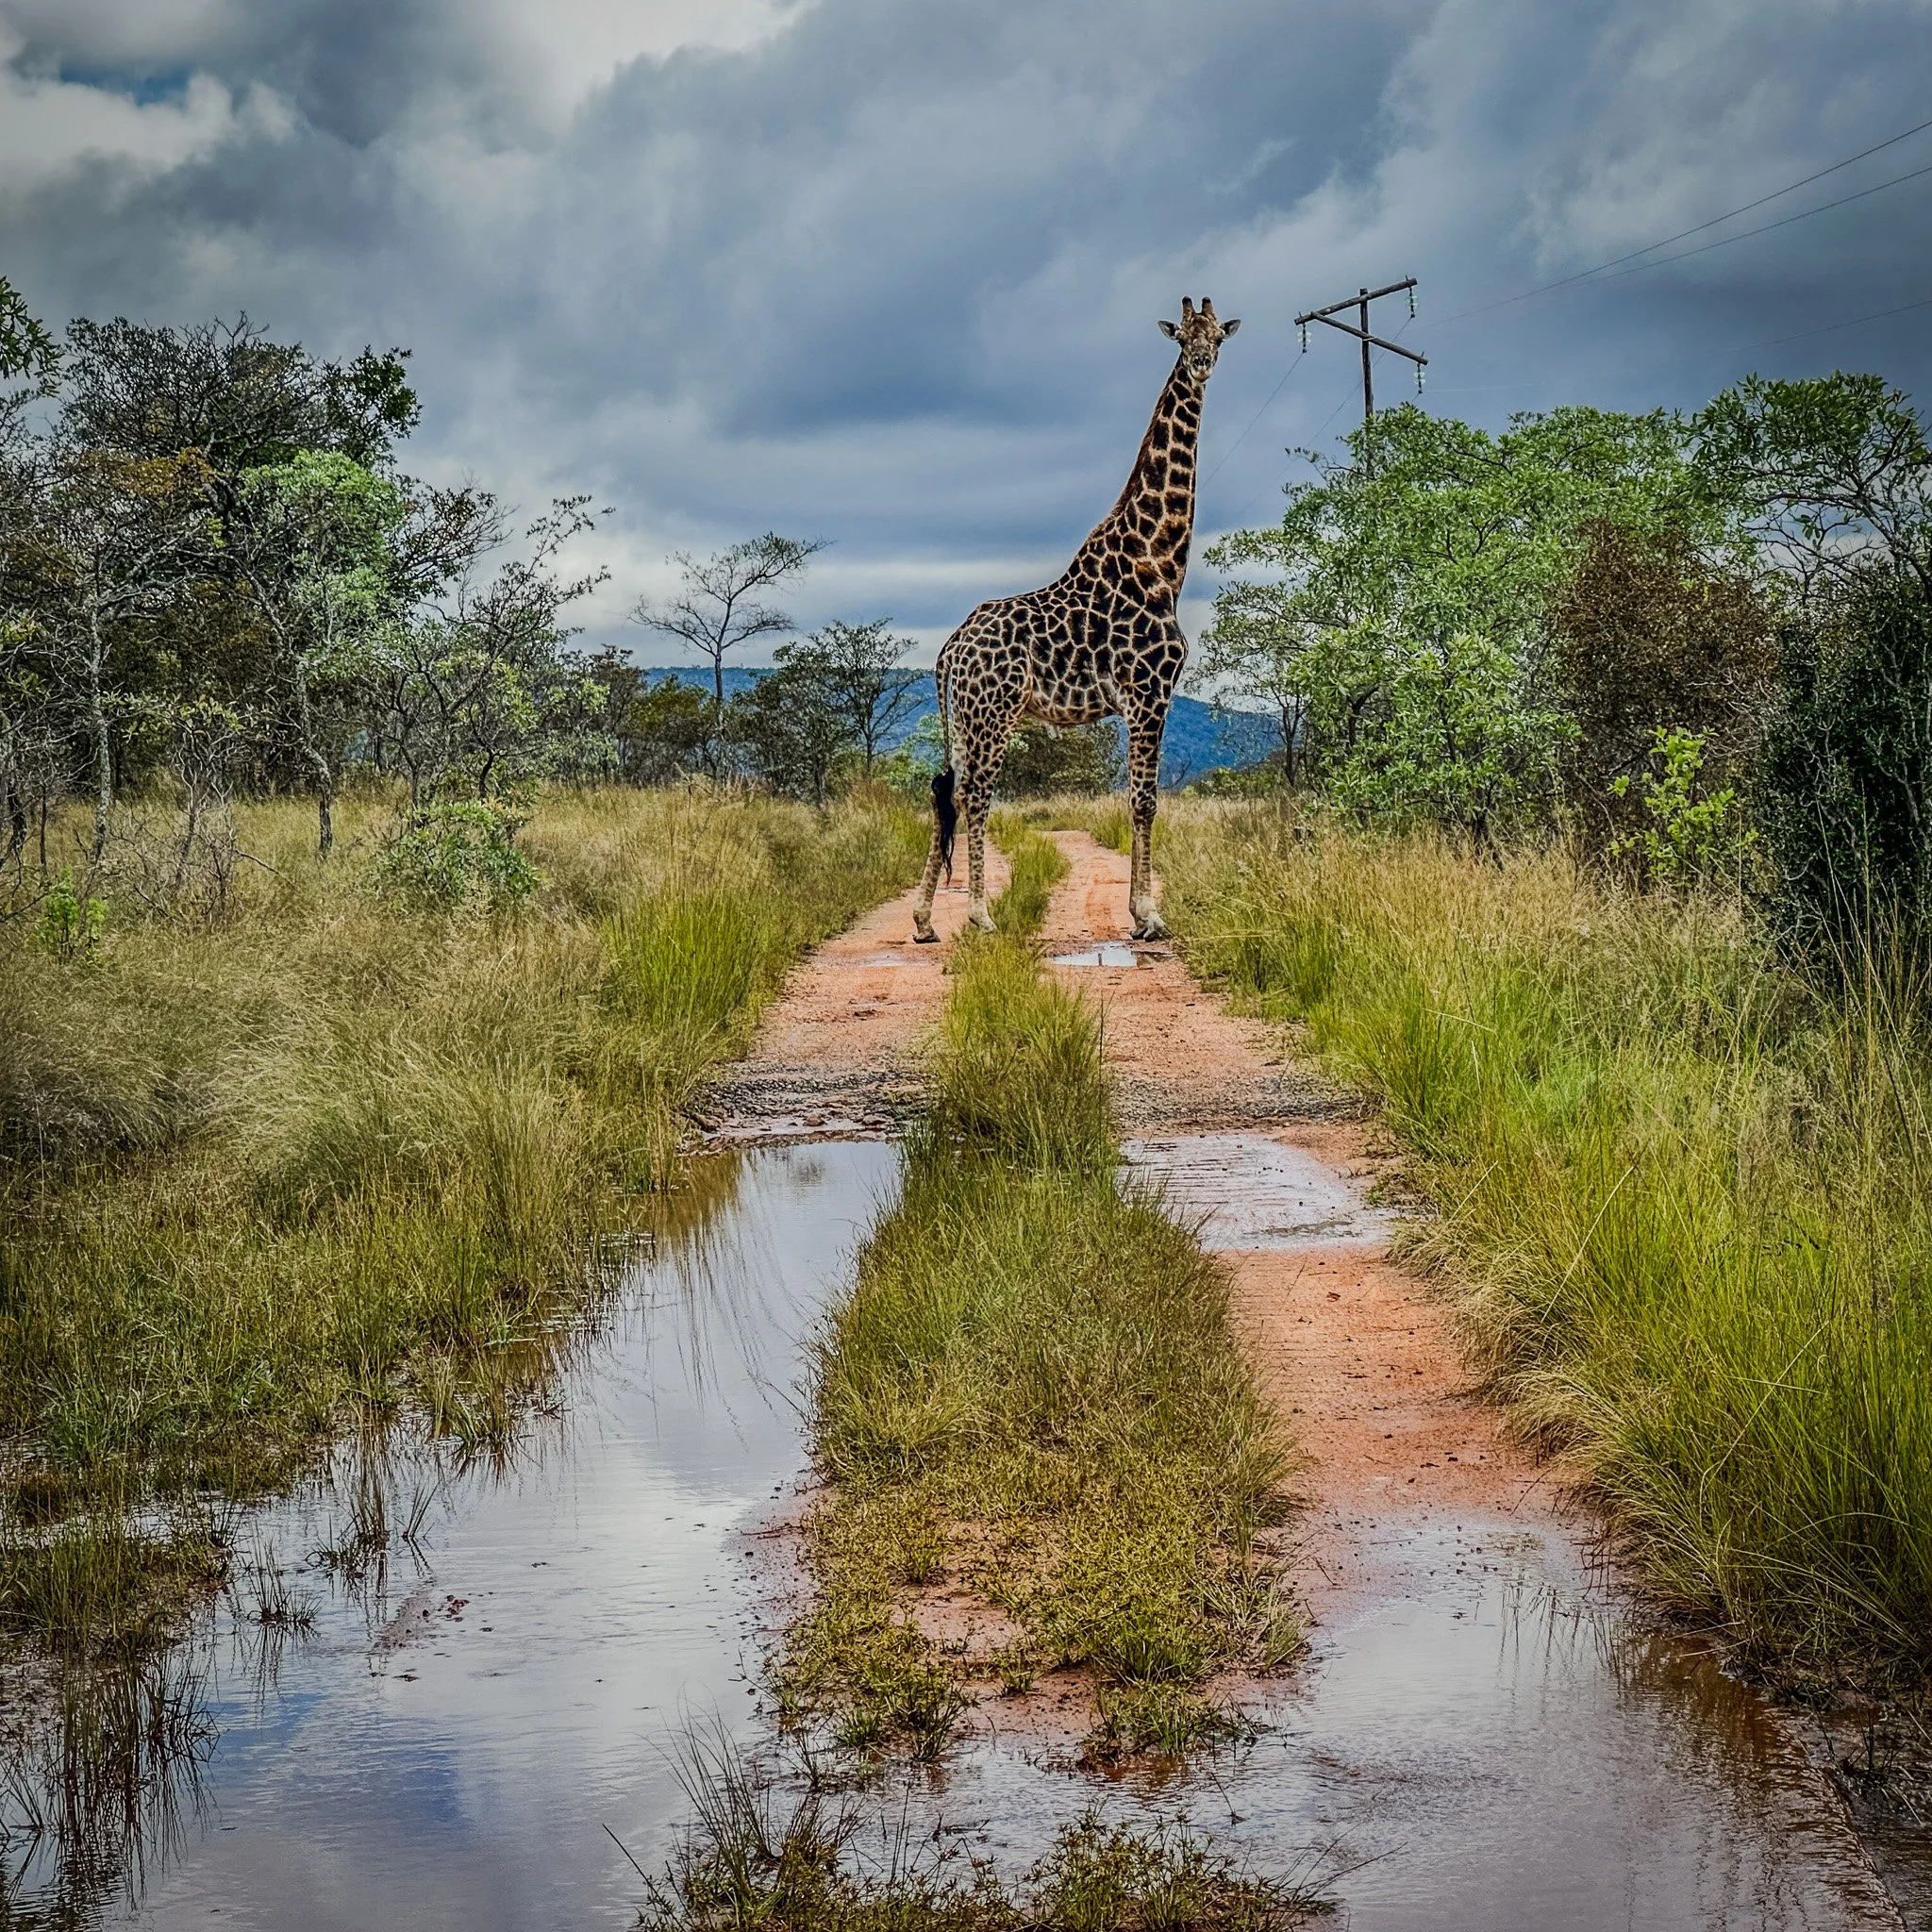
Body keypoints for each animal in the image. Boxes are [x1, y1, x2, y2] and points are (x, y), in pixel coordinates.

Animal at [911, 296, 1238, 944]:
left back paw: (925, 921)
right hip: (994, 714)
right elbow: (1144, 800)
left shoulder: (1144, 698)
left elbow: (1140, 799)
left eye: (1219, 336)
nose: (1202, 364)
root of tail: (949, 651)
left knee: (948, 793)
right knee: (977, 795)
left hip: (962, 718)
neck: (1160, 562)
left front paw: (1141, 912)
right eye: (1182, 337)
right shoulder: (1149, 692)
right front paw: (1148, 916)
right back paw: (980, 915)